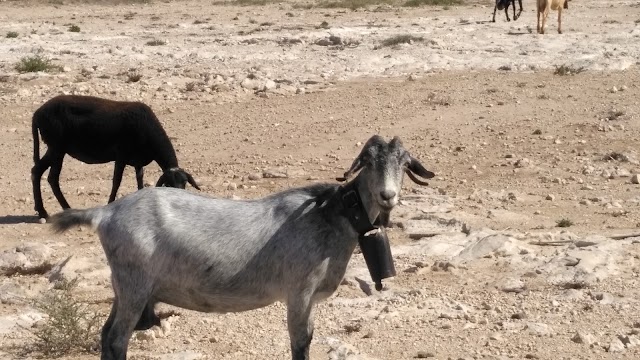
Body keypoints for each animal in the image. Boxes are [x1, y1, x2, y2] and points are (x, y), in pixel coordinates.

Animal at [30, 95, 199, 218]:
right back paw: (50, 210)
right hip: (56, 147)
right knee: (42, 173)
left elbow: (140, 179)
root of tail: (37, 113)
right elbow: (116, 181)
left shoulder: (138, 160)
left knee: (46, 175)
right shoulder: (121, 155)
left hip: (57, 149)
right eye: (168, 184)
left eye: (185, 183)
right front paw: (110, 203)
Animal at [51, 136, 436, 360]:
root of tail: (105, 213)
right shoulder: (299, 291)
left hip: (124, 287)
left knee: (106, 336)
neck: (331, 214)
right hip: (134, 285)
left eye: (404, 163)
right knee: (118, 339)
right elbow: (300, 343)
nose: (388, 195)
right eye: (368, 162)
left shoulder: (310, 298)